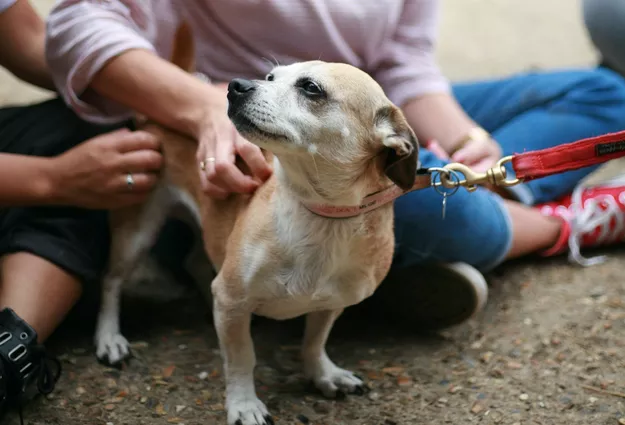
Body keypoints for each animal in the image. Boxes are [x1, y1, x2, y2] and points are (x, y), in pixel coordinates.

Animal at [96, 25, 420, 424]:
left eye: (311, 87)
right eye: (269, 77)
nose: (236, 85)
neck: (321, 216)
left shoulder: (331, 304)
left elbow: (314, 341)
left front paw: (322, 374)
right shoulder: (233, 301)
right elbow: (241, 358)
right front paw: (244, 403)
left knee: (197, 263)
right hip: (137, 231)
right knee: (111, 281)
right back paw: (109, 338)